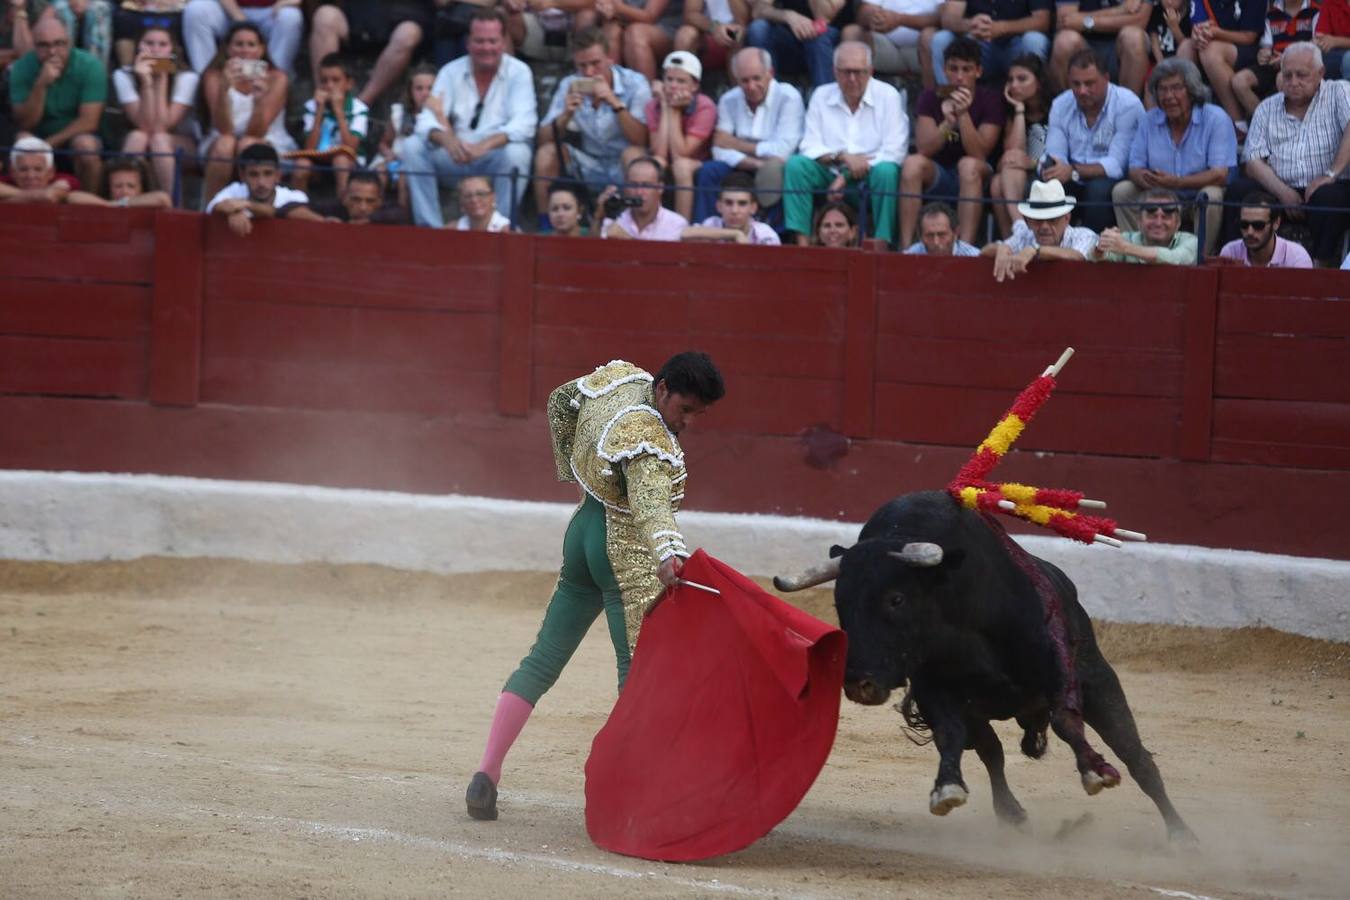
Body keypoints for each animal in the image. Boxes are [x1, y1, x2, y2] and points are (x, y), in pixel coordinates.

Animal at [777, 488, 1198, 841]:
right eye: (839, 603)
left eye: (896, 598)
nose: (858, 683)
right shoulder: (934, 688)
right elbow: (951, 736)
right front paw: (946, 788)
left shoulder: (1057, 666)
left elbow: (1066, 720)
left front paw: (1095, 771)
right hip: (981, 711)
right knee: (991, 751)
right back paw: (1011, 813)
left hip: (1099, 681)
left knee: (1137, 758)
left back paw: (1183, 837)